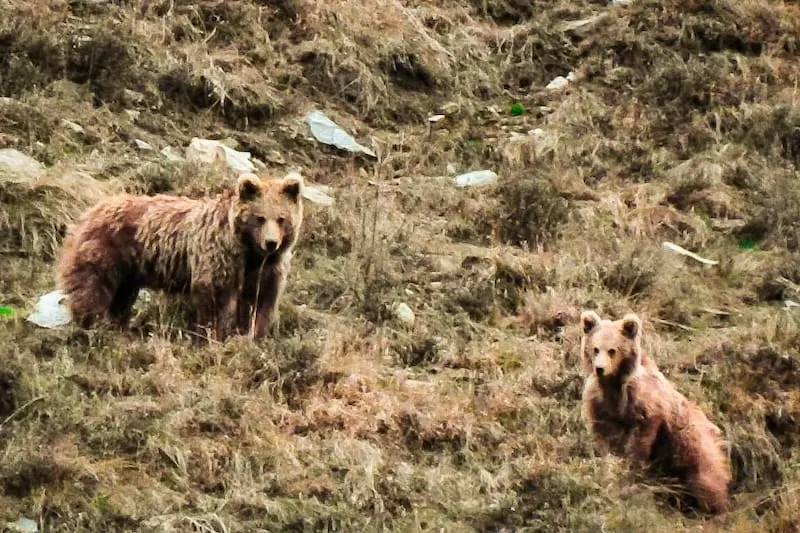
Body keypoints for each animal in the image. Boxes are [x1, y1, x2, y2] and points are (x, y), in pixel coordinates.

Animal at [56, 171, 304, 341]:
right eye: (260, 218)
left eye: (281, 219)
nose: (271, 243)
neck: (249, 251)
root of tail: (90, 211)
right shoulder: (219, 256)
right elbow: (213, 297)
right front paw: (211, 336)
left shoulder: (266, 270)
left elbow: (259, 302)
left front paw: (251, 335)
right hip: (106, 251)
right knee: (92, 288)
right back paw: (90, 325)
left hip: (128, 271)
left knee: (121, 298)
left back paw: (117, 328)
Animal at [580, 310, 732, 515]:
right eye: (595, 348)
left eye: (612, 350)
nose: (600, 368)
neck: (614, 385)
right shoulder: (601, 405)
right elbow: (605, 437)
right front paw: (612, 466)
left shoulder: (644, 404)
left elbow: (641, 436)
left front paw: (633, 466)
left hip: (689, 440)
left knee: (705, 475)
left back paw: (714, 506)